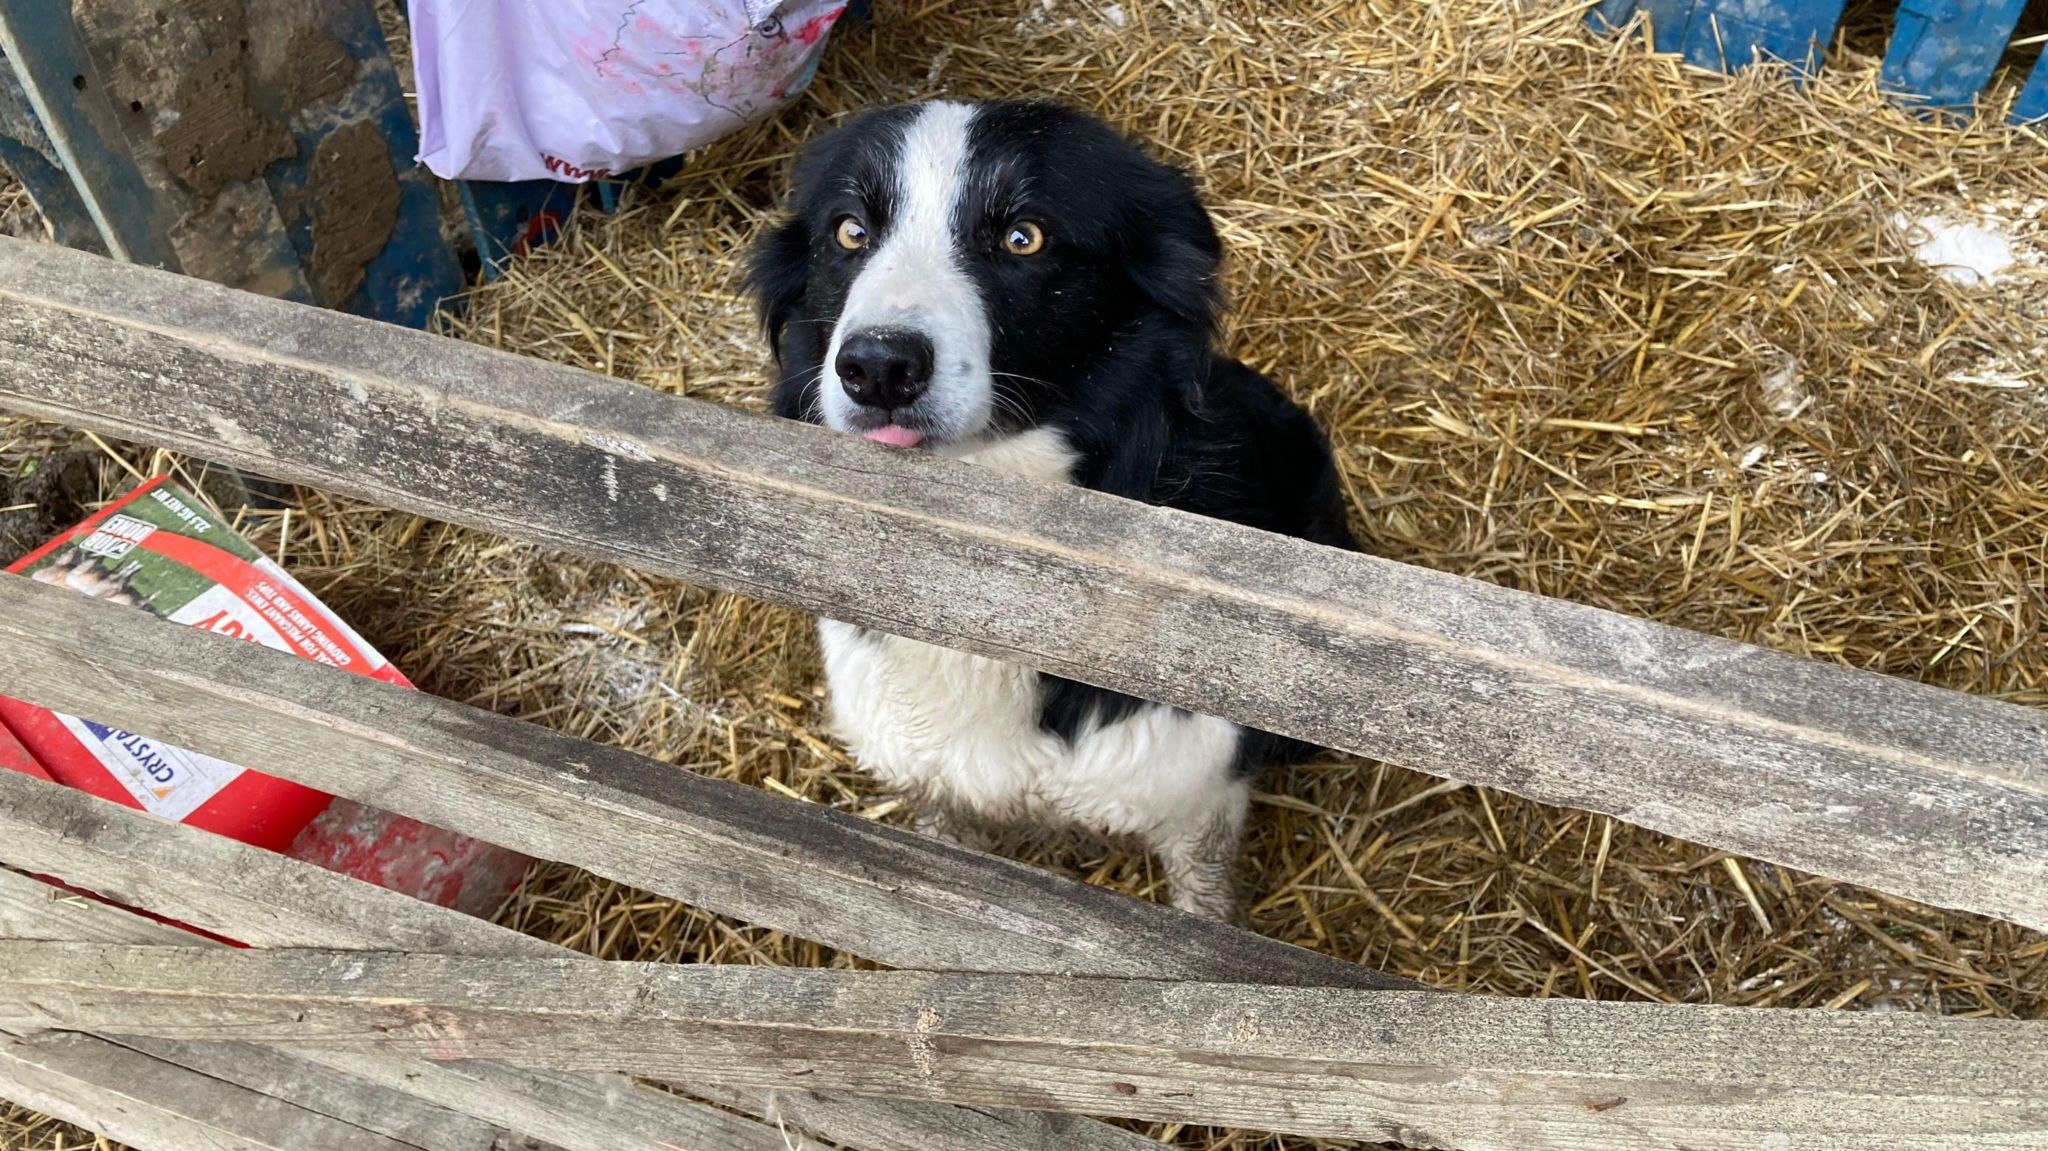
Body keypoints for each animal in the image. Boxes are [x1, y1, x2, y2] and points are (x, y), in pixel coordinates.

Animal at [745, 100, 1351, 921]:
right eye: (849, 231)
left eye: (1022, 237)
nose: (878, 368)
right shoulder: (937, 776)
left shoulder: (1194, 788)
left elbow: (1204, 905)